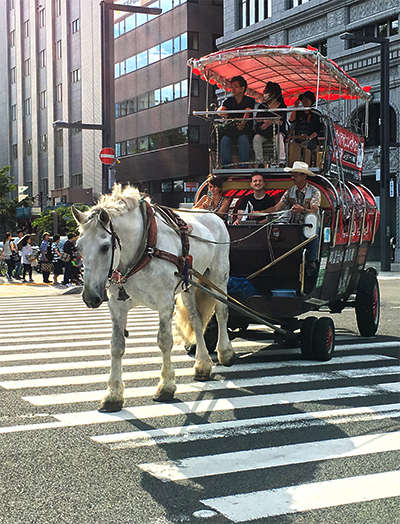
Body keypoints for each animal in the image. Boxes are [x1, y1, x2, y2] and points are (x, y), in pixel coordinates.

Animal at [72, 186, 234, 412]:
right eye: (78, 247)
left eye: (104, 247)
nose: (90, 297)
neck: (141, 250)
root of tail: (213, 215)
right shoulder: (117, 306)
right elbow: (116, 346)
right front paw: (113, 394)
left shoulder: (165, 302)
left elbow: (165, 341)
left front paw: (166, 386)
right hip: (190, 283)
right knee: (196, 319)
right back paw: (202, 365)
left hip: (218, 277)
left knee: (221, 313)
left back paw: (225, 352)